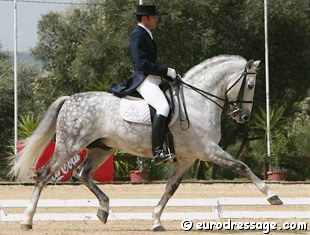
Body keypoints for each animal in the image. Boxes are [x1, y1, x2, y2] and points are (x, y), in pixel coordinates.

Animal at [10, 55, 282, 231]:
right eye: (250, 85)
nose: (243, 117)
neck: (198, 102)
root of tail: (69, 99)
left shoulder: (187, 158)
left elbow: (170, 189)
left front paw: (156, 220)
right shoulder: (208, 151)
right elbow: (242, 167)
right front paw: (272, 196)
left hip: (100, 148)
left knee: (82, 174)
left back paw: (104, 209)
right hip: (70, 145)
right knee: (45, 174)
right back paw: (27, 219)